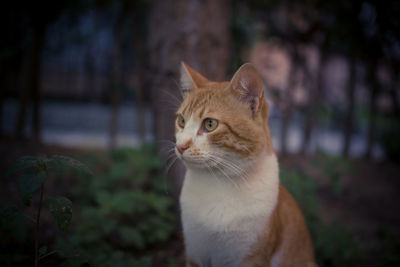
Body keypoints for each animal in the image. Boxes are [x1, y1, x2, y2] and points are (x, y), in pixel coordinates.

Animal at [175, 61, 316, 266]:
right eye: (181, 121)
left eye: (210, 124)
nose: (180, 146)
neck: (217, 183)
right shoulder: (195, 254)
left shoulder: (252, 258)